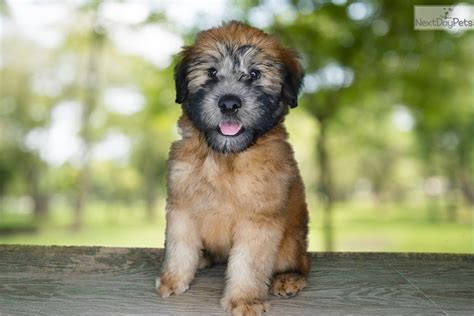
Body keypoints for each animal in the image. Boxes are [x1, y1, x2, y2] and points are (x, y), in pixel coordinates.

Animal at [157, 21, 310, 314]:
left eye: (254, 74)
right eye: (212, 72)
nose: (229, 103)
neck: (225, 157)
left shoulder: (259, 217)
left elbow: (249, 264)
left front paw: (245, 300)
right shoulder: (182, 202)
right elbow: (179, 246)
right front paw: (173, 279)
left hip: (292, 240)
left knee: (300, 262)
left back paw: (288, 278)